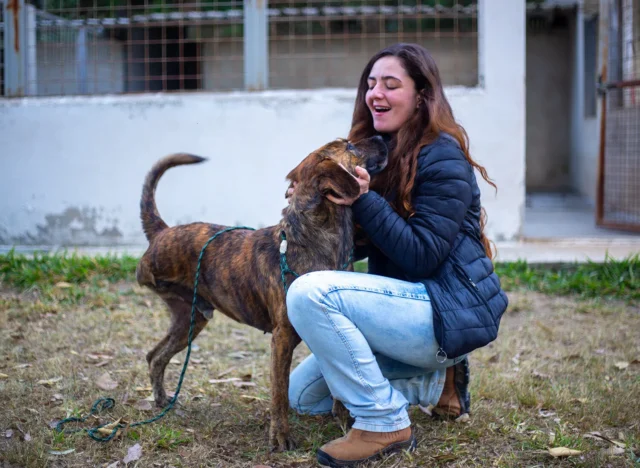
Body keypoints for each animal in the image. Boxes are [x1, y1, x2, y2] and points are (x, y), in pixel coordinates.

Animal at [135, 136, 388, 451]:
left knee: (155, 356)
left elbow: (340, 381)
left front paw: (343, 420)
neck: (315, 241)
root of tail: (162, 233)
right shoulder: (282, 339)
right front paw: (280, 437)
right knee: (156, 356)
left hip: (190, 320)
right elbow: (279, 393)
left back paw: (161, 401)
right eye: (350, 147)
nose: (382, 138)